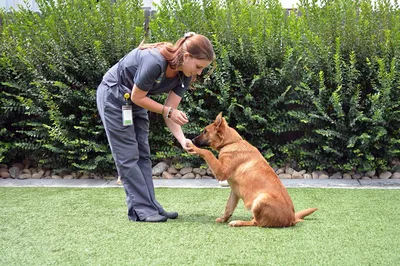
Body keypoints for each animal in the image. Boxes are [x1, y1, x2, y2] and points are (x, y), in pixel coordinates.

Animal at [189, 112, 318, 227]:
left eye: (205, 131)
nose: (193, 140)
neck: (231, 143)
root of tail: (292, 218)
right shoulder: (234, 191)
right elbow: (228, 207)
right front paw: (223, 219)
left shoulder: (221, 171)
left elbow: (208, 152)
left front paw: (192, 146)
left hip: (261, 199)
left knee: (256, 223)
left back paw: (238, 222)